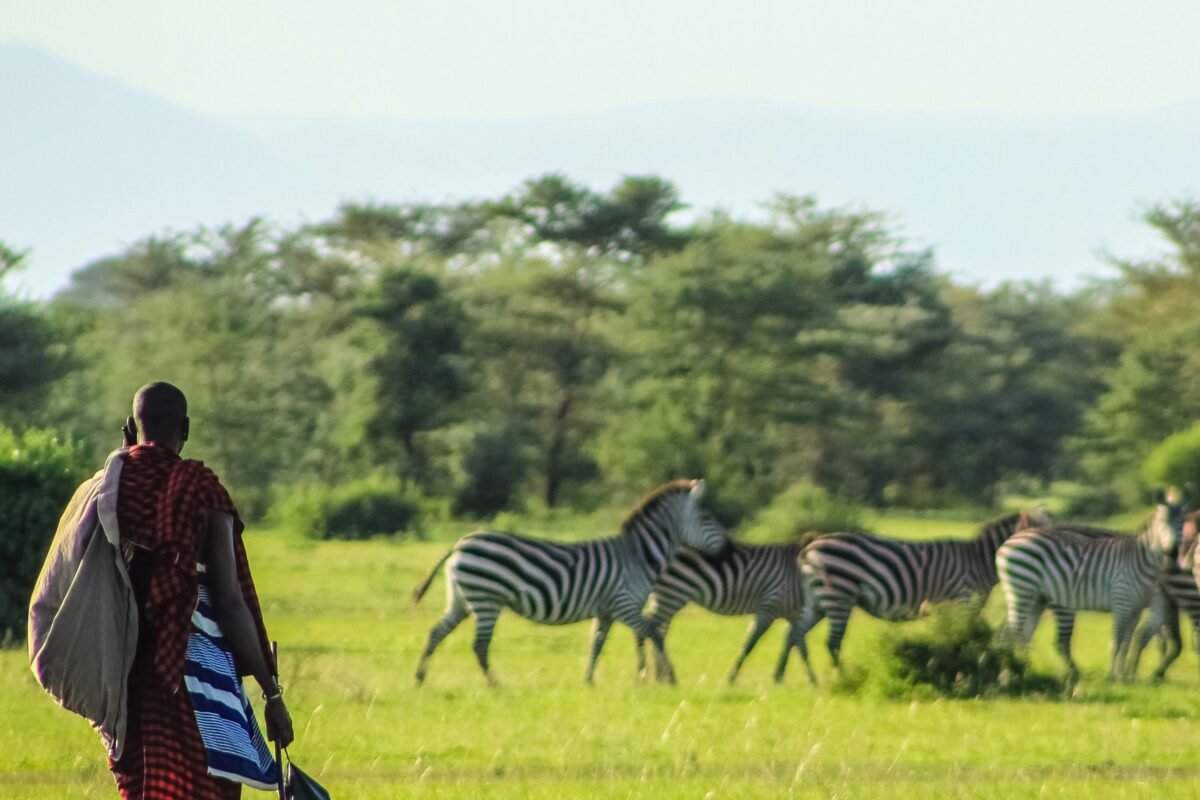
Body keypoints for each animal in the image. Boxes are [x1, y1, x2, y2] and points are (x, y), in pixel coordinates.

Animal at [411, 479, 727, 685]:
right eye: (707, 517)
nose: (726, 550)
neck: (638, 556)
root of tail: (460, 543)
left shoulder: (607, 610)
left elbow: (596, 643)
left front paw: (589, 680)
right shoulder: (624, 604)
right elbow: (653, 633)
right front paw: (667, 677)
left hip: (461, 599)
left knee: (436, 632)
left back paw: (420, 677)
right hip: (486, 599)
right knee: (479, 645)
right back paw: (494, 684)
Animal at [635, 541, 815, 686]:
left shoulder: (794, 614)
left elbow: (798, 644)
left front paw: (809, 679)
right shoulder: (770, 605)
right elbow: (750, 643)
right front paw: (732, 678)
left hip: (666, 596)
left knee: (656, 632)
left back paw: (660, 678)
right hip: (673, 592)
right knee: (647, 628)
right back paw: (646, 676)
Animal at [795, 511, 1048, 673]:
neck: (978, 561)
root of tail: (810, 546)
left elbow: (951, 638)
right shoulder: (963, 600)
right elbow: (962, 638)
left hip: (820, 599)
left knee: (797, 634)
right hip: (840, 594)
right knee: (832, 642)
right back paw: (842, 677)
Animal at [995, 493, 1188, 680]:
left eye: (1183, 523)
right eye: (1163, 522)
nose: (1173, 552)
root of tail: (1007, 543)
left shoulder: (1138, 607)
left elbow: (1131, 641)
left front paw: (1126, 676)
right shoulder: (1124, 600)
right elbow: (1122, 641)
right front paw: (1115, 677)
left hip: (1036, 598)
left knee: (1023, 635)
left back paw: (1023, 669)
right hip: (1023, 591)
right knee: (1013, 633)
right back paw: (1011, 671)